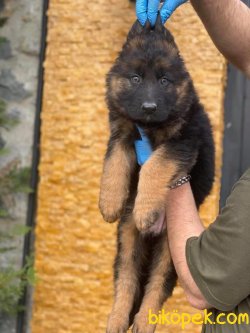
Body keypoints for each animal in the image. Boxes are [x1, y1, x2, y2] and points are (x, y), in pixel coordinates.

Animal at [99, 17, 215, 332]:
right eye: (136, 78)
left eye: (164, 81)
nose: (149, 107)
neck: (149, 126)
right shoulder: (123, 133)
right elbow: (113, 164)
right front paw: (110, 203)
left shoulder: (183, 141)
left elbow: (154, 165)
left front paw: (145, 209)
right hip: (128, 240)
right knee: (126, 280)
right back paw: (117, 319)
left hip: (170, 252)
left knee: (155, 286)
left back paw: (143, 322)